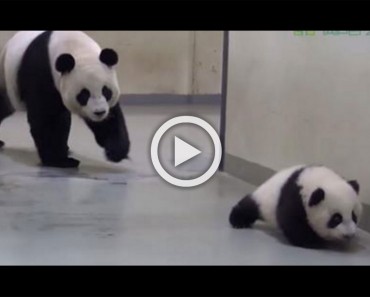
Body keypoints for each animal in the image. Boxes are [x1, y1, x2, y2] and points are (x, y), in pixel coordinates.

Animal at [0, 30, 130, 168]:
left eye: (106, 91)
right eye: (84, 94)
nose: (99, 112)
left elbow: (111, 117)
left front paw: (116, 151)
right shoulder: (42, 72)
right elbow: (47, 118)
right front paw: (59, 160)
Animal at [230, 164, 362, 247]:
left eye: (354, 216)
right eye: (336, 218)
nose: (349, 235)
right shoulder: (295, 198)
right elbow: (292, 221)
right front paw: (313, 241)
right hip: (264, 200)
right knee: (249, 206)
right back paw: (238, 221)